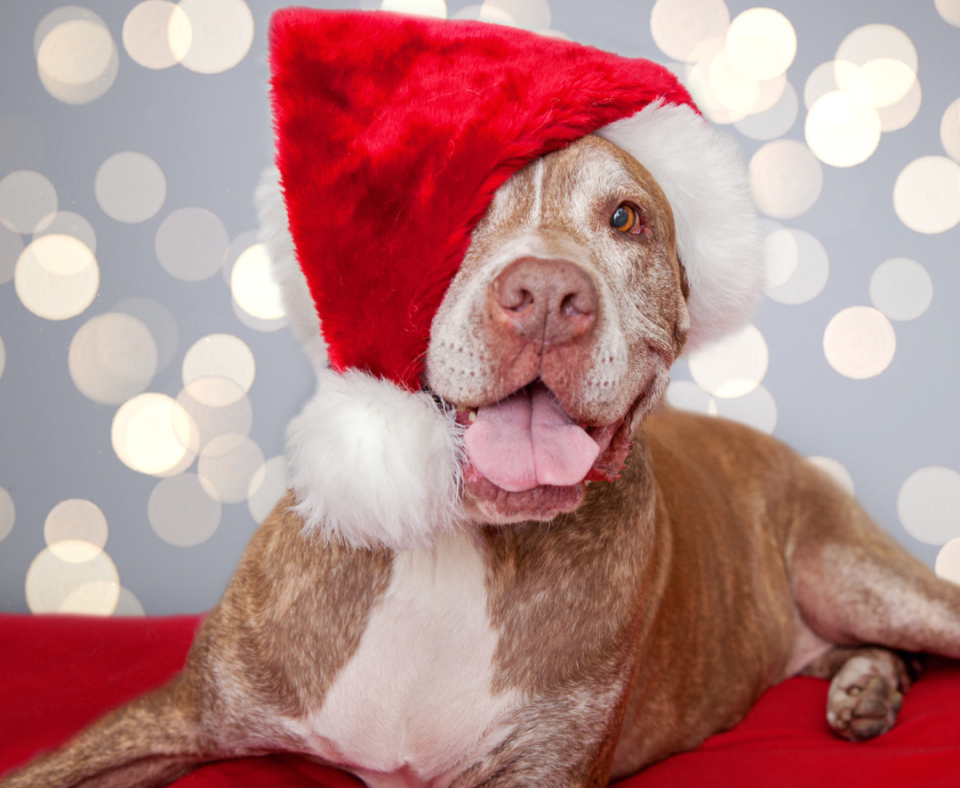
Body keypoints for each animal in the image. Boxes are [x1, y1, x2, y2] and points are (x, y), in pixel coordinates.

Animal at [5, 121, 960, 788]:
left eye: (625, 218)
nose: (547, 293)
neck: (457, 546)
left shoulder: (544, 765)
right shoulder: (175, 714)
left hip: (856, 573)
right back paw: (866, 689)